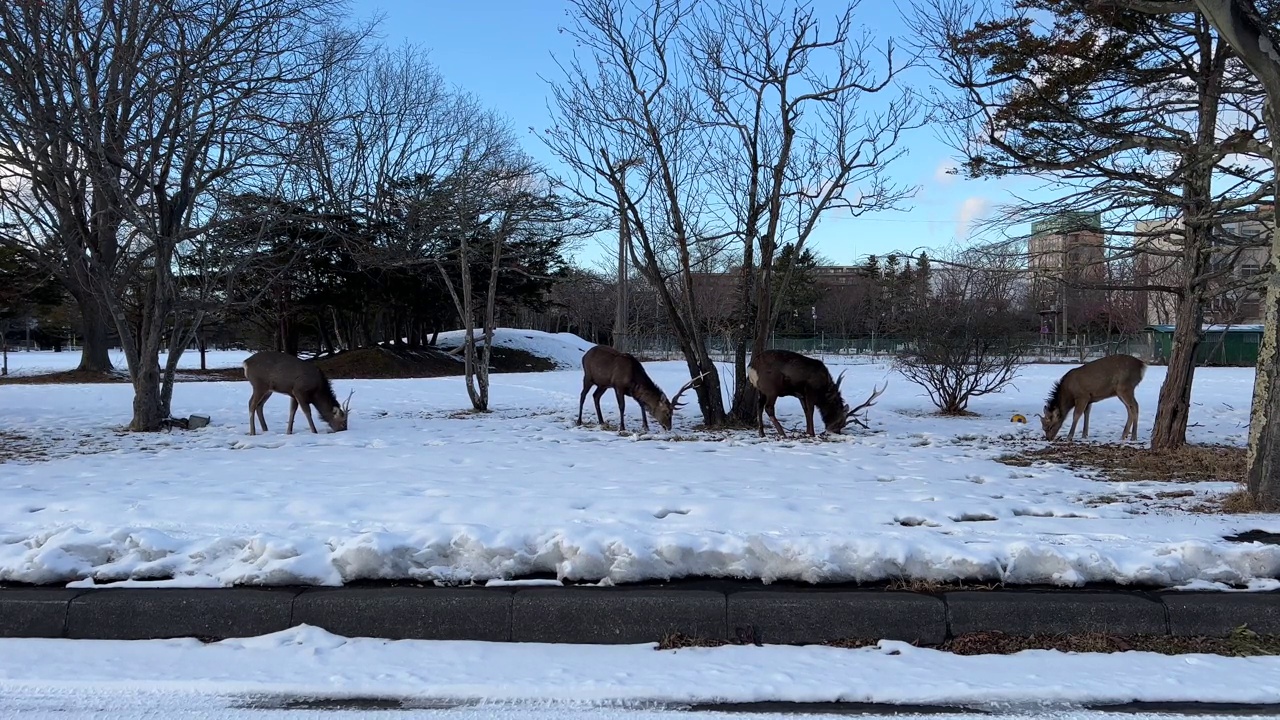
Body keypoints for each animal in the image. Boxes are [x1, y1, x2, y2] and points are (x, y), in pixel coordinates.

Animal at [576, 343, 706, 430]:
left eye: (672, 413)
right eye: (667, 412)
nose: (668, 427)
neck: (634, 378)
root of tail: (584, 356)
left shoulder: (633, 392)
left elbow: (642, 405)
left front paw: (646, 426)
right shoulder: (618, 386)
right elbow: (622, 406)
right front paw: (622, 427)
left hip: (603, 384)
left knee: (595, 396)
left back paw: (601, 421)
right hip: (588, 376)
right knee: (582, 395)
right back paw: (579, 421)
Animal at [747, 348, 885, 438]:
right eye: (841, 422)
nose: (836, 431)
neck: (823, 392)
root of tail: (751, 367)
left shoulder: (801, 395)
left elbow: (806, 411)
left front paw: (808, 431)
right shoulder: (810, 391)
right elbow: (811, 410)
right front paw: (811, 433)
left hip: (761, 390)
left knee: (759, 406)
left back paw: (762, 433)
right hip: (771, 389)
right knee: (768, 408)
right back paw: (782, 433)